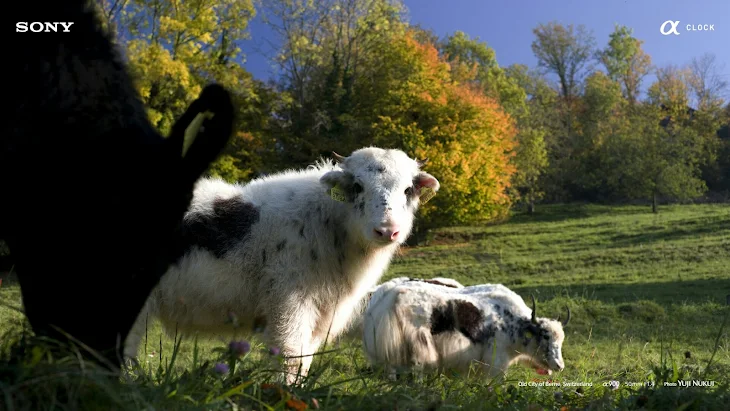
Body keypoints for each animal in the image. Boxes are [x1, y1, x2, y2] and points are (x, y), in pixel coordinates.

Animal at [123, 147, 438, 384]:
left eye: (407, 189)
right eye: (358, 186)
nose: (387, 230)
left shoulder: (320, 312)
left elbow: (305, 357)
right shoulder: (290, 302)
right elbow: (291, 354)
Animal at [364, 278, 568, 382]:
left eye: (560, 341)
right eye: (544, 337)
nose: (559, 366)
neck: (512, 323)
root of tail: (389, 295)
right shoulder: (496, 360)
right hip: (415, 345)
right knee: (415, 369)